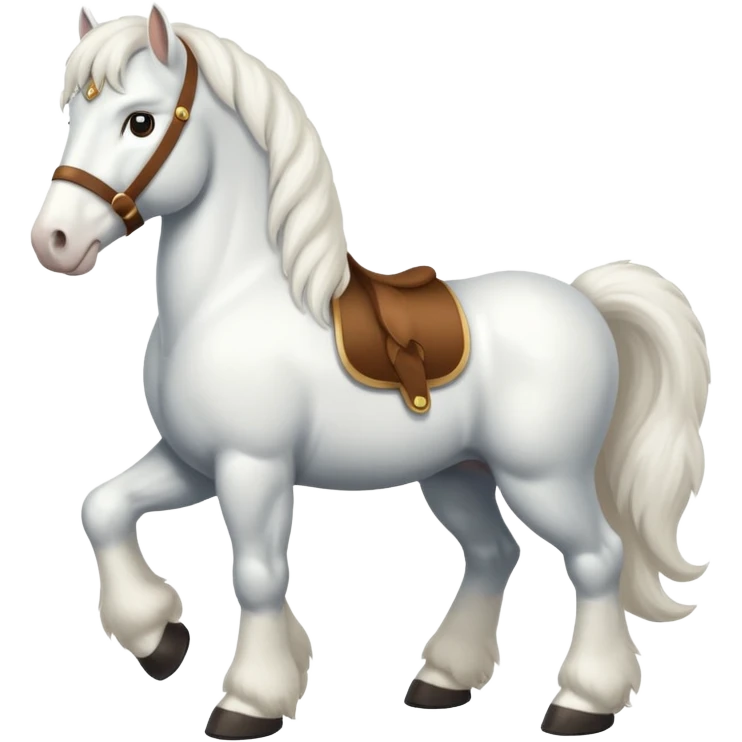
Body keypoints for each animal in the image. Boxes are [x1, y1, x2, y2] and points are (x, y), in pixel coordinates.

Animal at [30, 4, 710, 739]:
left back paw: (582, 702)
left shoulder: (252, 465)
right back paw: (443, 681)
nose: (54, 241)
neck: (231, 297)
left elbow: (259, 574)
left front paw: (249, 701)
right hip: (459, 475)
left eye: (140, 122)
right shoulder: (195, 460)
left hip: (543, 477)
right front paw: (160, 639)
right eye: (74, 114)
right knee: (494, 554)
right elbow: (103, 508)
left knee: (597, 558)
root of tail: (586, 301)